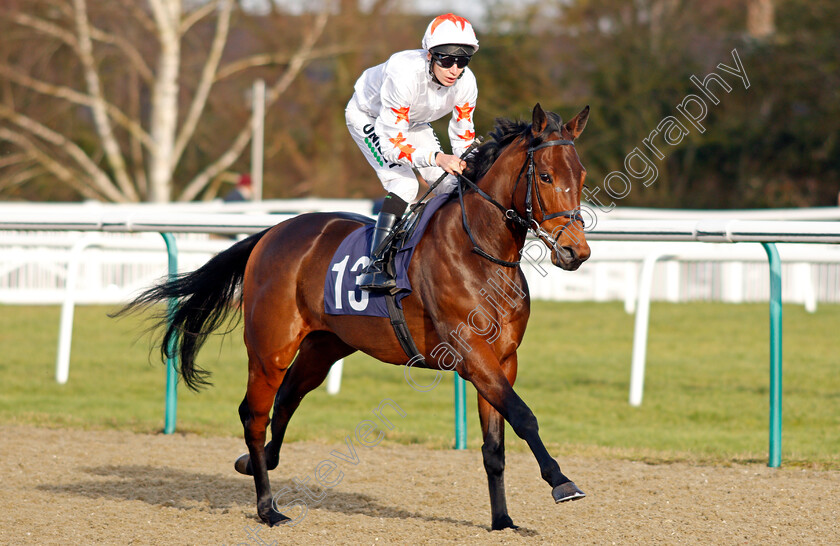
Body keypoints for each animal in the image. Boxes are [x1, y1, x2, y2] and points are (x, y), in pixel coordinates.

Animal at [121, 104, 592, 528]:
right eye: (545, 176)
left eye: (582, 175)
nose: (576, 252)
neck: (480, 252)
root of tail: (272, 232)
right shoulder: (471, 353)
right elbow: (524, 416)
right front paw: (561, 481)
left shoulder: (503, 358)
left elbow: (495, 445)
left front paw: (503, 520)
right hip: (270, 349)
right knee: (254, 414)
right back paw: (268, 509)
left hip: (324, 346)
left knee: (287, 397)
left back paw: (259, 463)